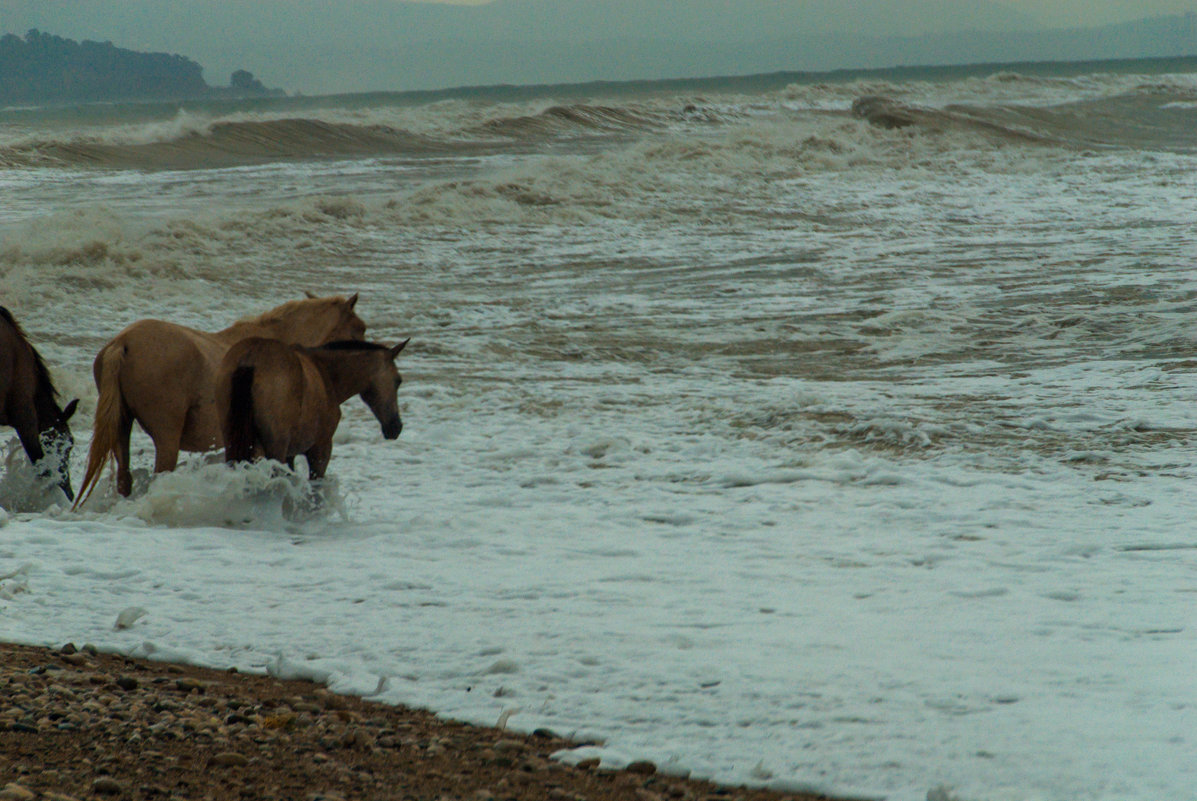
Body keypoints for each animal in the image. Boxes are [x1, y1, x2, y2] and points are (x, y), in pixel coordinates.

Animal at [220, 335, 411, 478]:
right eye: (398, 381)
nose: (396, 427)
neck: (326, 373)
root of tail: (251, 357)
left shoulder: (291, 454)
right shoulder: (320, 450)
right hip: (274, 450)